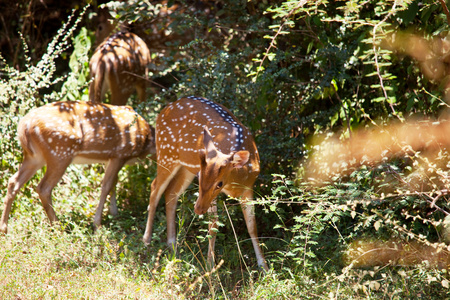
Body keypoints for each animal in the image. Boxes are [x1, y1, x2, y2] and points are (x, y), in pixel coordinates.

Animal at [0, 101, 156, 234]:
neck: (146, 141)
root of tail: (24, 125)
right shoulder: (120, 154)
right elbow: (106, 186)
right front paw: (97, 225)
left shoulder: (109, 158)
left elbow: (114, 183)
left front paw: (114, 213)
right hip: (60, 153)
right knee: (43, 188)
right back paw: (58, 227)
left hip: (35, 157)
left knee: (13, 182)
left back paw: (4, 228)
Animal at [143, 96, 268, 272]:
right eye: (200, 176)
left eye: (219, 183)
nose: (198, 209)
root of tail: (164, 110)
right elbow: (213, 225)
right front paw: (210, 266)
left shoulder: (249, 188)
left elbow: (252, 226)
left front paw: (263, 265)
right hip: (166, 154)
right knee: (155, 188)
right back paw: (147, 239)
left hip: (184, 168)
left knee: (171, 192)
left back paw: (172, 243)